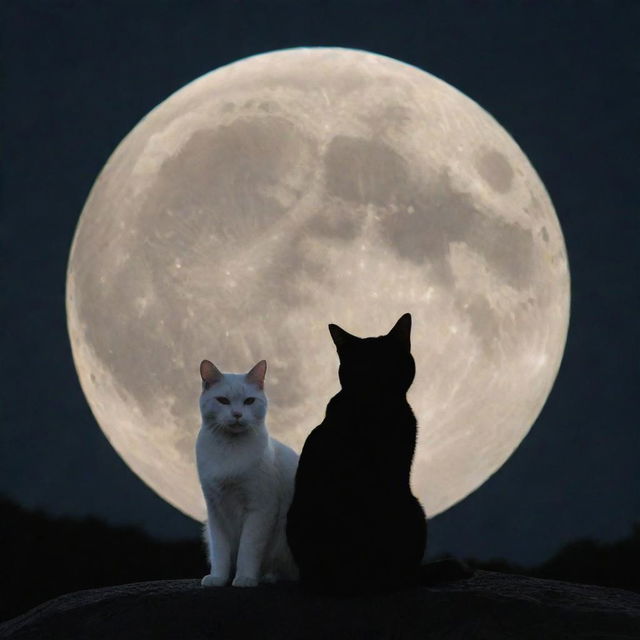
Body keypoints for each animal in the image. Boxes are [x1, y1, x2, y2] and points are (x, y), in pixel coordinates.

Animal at [196, 358, 298, 588]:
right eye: (223, 400)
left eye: (249, 401)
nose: (237, 415)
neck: (229, 450)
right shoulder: (215, 511)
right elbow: (221, 552)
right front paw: (218, 578)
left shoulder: (260, 509)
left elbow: (248, 550)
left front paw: (245, 578)